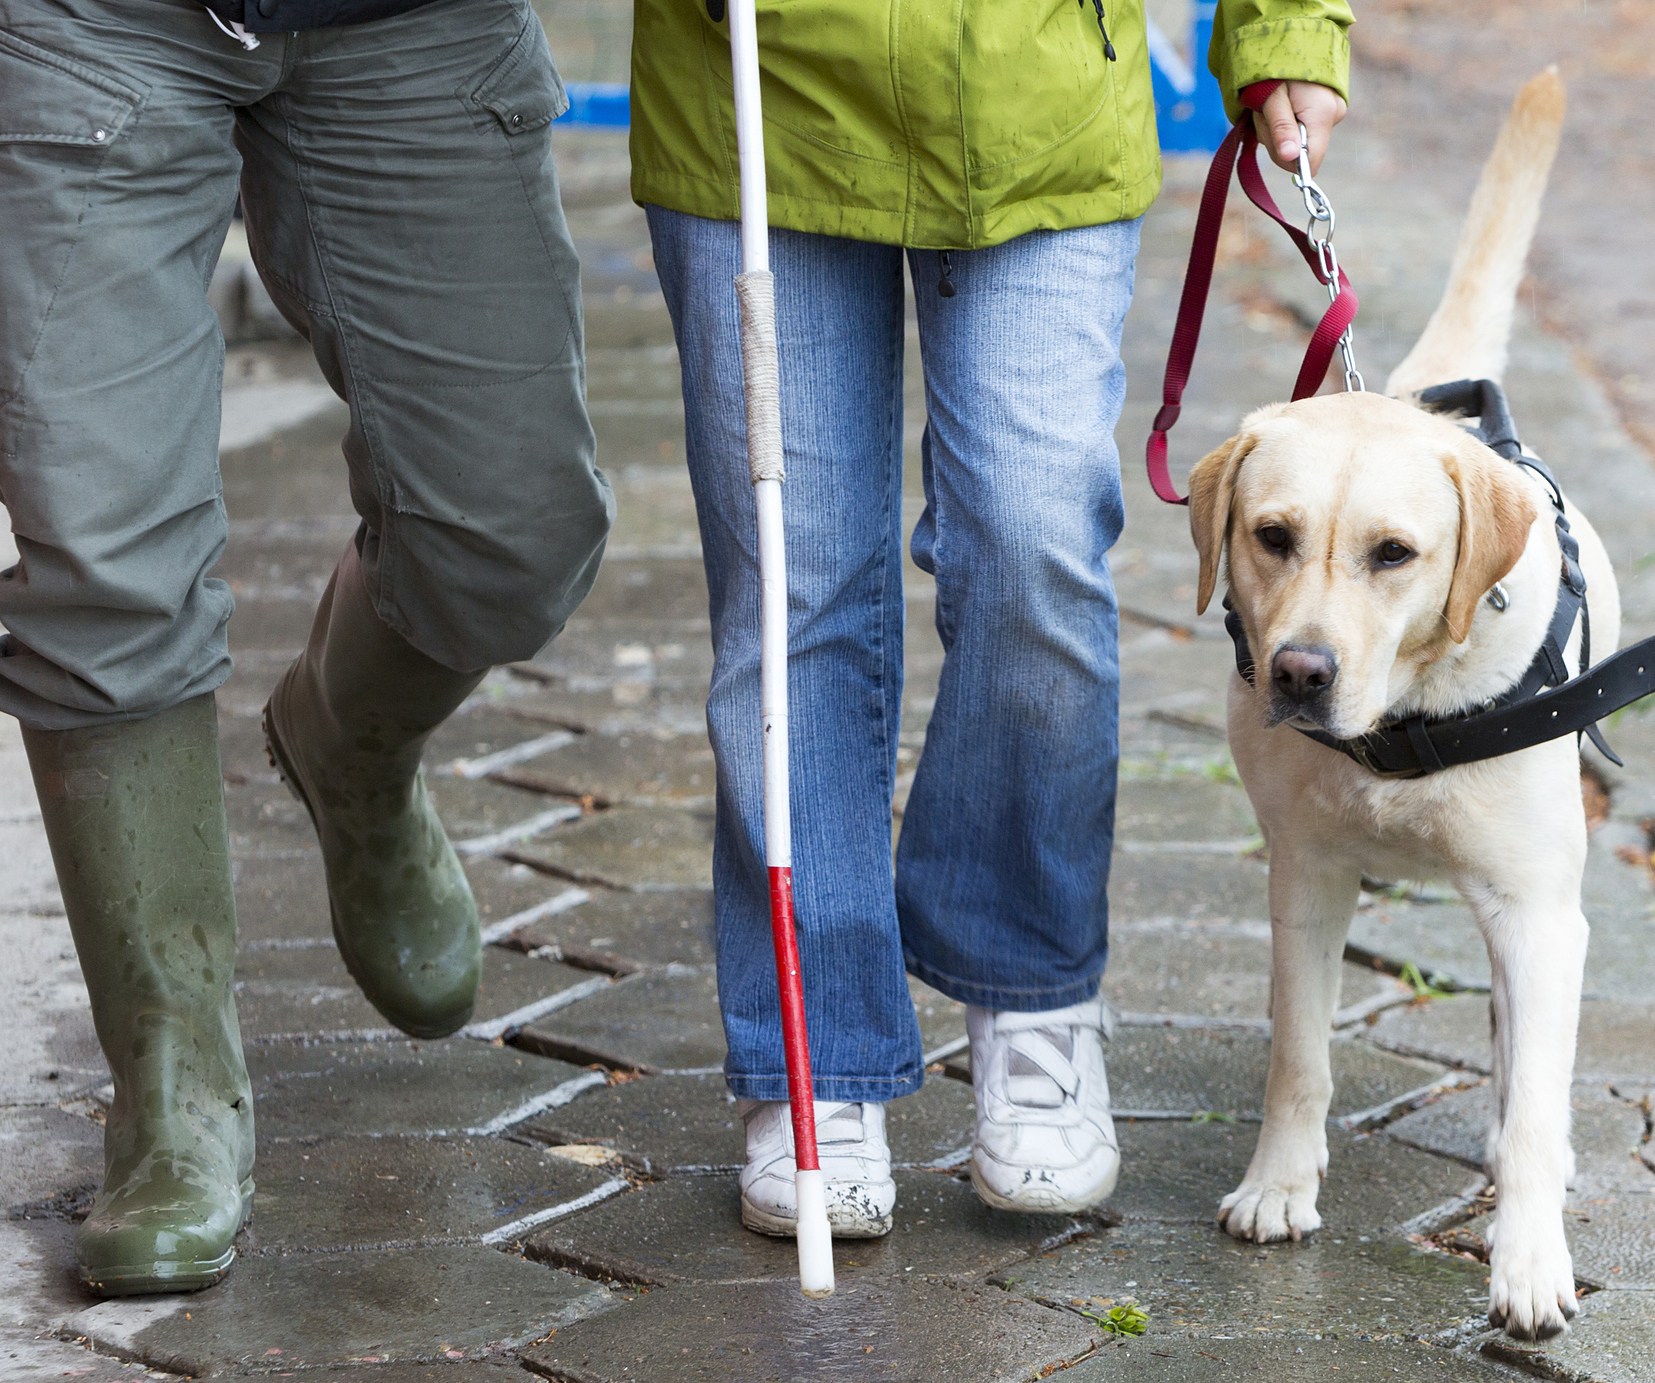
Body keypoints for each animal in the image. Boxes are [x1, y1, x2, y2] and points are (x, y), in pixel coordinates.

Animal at [1191, 72, 1615, 1336]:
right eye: (1270, 536)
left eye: (1393, 554)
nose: (1298, 672)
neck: (1401, 721)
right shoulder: (1302, 882)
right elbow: (1298, 1056)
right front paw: (1278, 1187)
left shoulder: (1535, 911)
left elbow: (1532, 1103)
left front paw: (1526, 1259)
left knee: (1524, 1055)